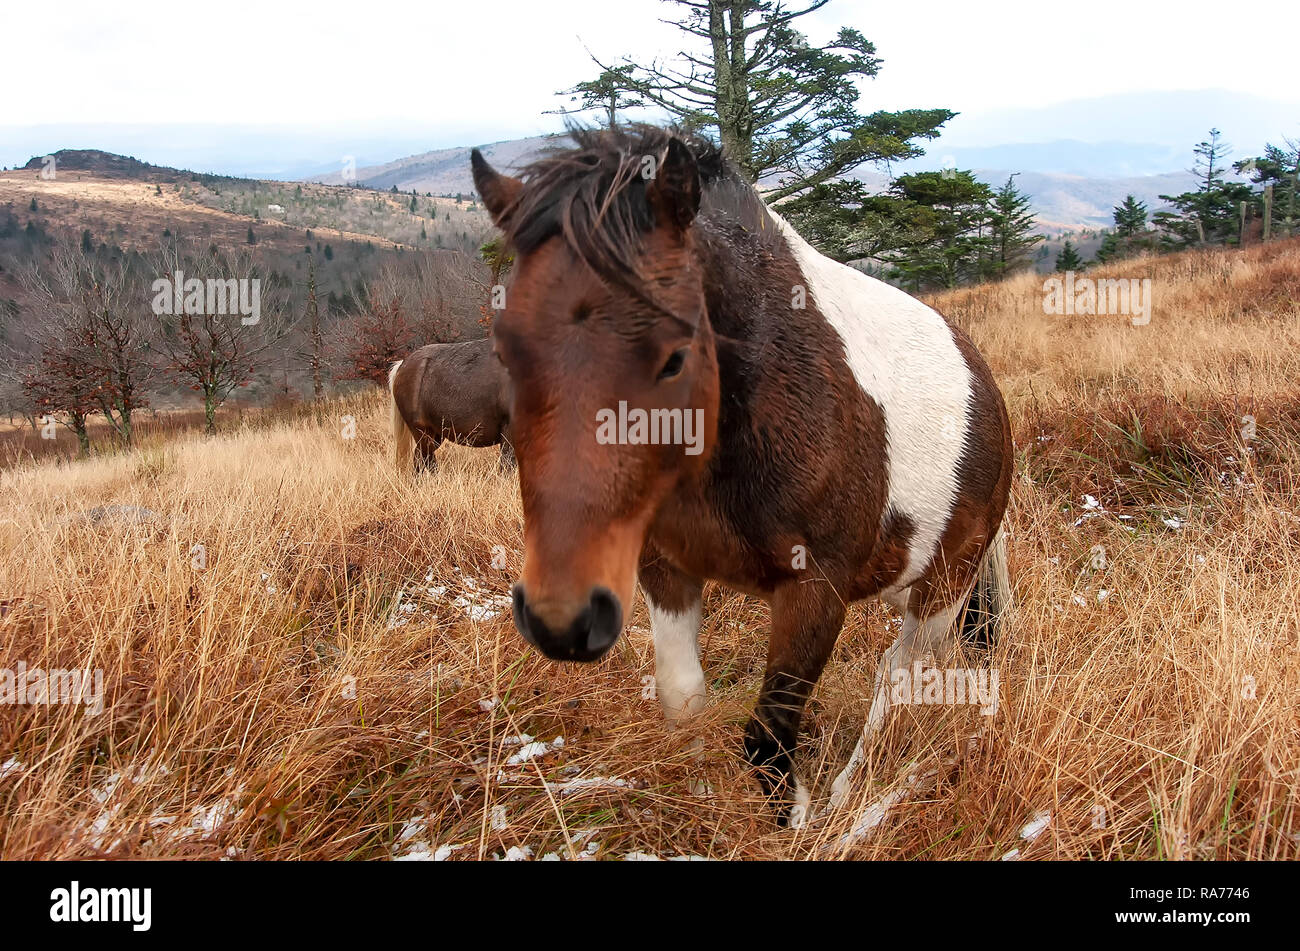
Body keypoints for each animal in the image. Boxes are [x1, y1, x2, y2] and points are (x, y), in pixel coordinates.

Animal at [470, 126, 1013, 826]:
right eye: (505, 350)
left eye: (674, 356)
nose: (561, 619)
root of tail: (985, 384)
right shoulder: (665, 570)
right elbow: (683, 699)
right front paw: (703, 799)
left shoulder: (816, 590)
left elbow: (769, 728)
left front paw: (794, 818)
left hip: (944, 582)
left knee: (902, 673)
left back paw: (852, 794)